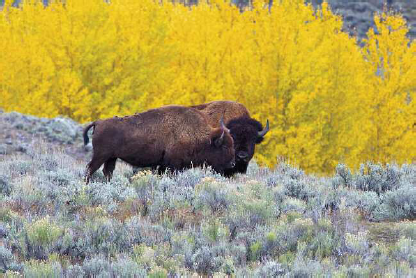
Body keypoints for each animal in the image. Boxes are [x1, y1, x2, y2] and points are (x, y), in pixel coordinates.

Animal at [83, 104, 236, 182]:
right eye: (224, 146)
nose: (232, 164)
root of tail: (98, 122)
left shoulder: (164, 166)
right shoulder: (173, 165)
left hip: (111, 157)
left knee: (107, 171)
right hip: (100, 156)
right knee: (90, 169)